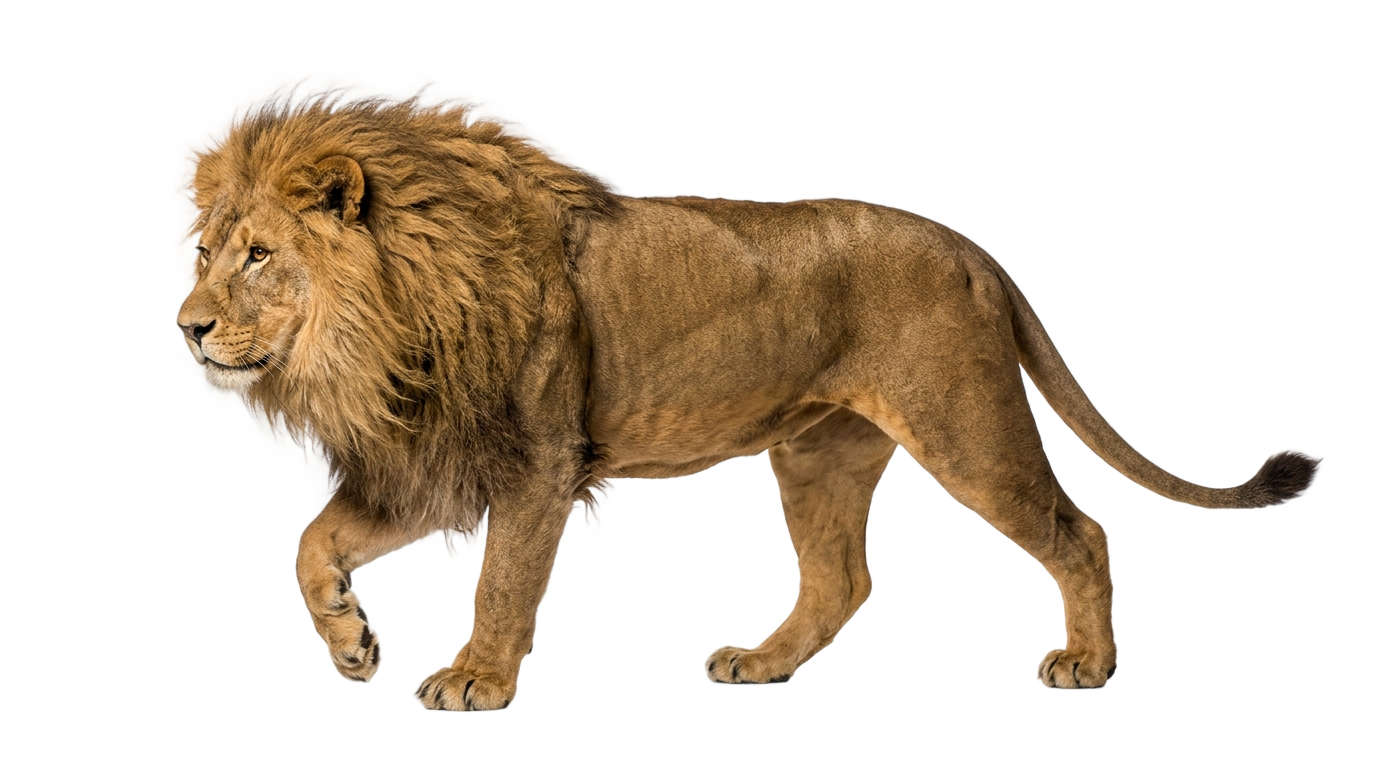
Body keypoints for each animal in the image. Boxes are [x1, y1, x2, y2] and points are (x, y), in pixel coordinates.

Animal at [176, 96, 1316, 710]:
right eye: (204, 252)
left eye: (259, 255)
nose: (185, 328)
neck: (385, 329)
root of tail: (969, 249)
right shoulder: (425, 459)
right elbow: (311, 544)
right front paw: (349, 638)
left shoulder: (535, 464)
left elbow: (501, 587)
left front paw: (476, 682)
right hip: (818, 452)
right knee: (839, 580)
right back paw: (763, 663)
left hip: (964, 426)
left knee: (1077, 532)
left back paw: (1088, 662)